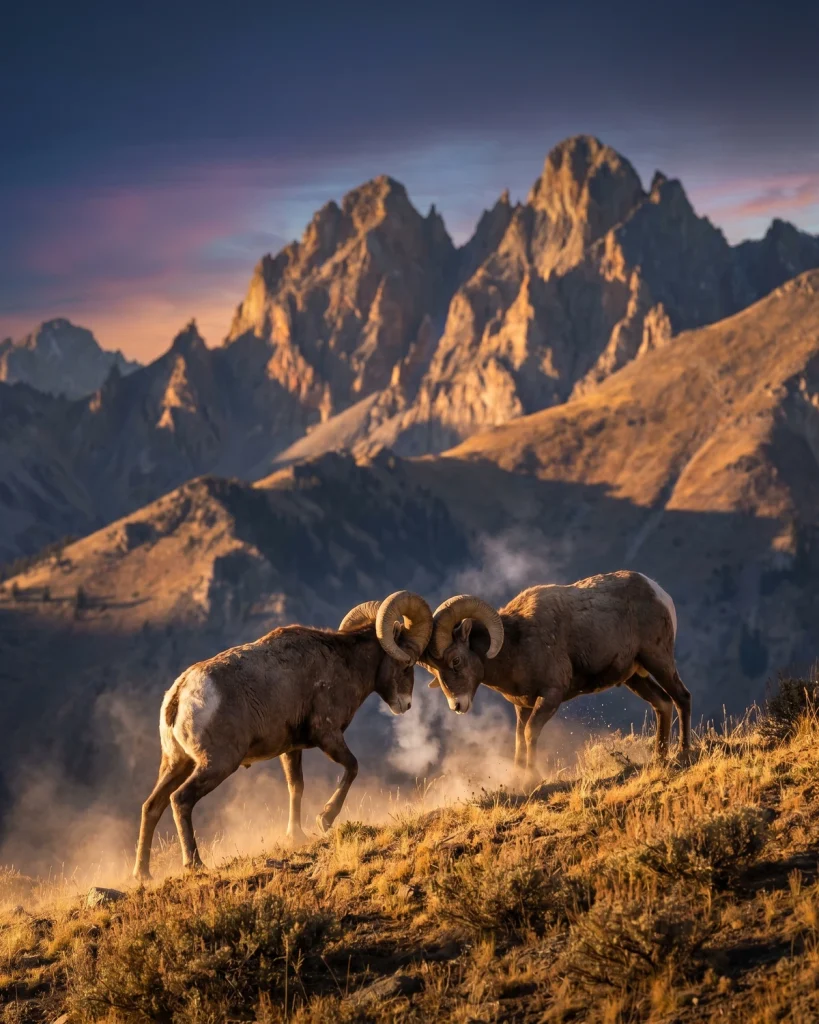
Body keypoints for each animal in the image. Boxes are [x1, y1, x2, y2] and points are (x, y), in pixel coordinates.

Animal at [133, 591, 433, 880]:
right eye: (407, 664)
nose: (405, 705)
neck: (345, 663)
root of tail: (180, 694)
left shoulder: (291, 749)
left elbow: (296, 787)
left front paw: (295, 835)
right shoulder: (328, 735)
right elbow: (352, 767)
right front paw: (325, 819)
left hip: (177, 764)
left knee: (151, 806)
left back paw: (143, 874)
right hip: (217, 764)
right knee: (180, 800)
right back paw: (194, 865)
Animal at [421, 571, 691, 784]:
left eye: (456, 660)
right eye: (434, 671)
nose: (457, 705)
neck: (516, 644)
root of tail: (657, 591)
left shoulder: (550, 696)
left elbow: (530, 734)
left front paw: (532, 779)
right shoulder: (523, 706)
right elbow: (519, 740)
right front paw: (517, 780)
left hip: (658, 660)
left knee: (682, 698)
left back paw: (683, 754)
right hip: (634, 677)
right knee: (663, 704)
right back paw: (659, 758)